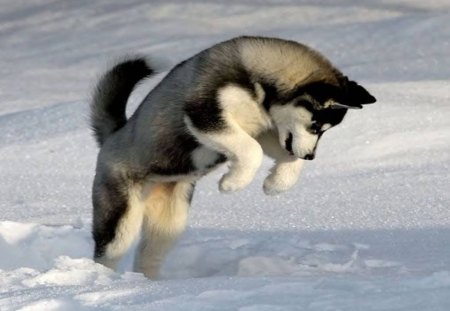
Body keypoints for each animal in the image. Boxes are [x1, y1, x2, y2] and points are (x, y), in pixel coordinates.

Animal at [89, 36, 374, 278]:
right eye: (316, 127)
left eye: (325, 131)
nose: (311, 156)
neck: (256, 82)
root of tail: (113, 136)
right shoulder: (205, 114)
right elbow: (251, 150)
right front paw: (232, 183)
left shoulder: (264, 130)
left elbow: (280, 153)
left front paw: (276, 184)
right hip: (121, 218)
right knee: (108, 253)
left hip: (170, 223)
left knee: (148, 256)